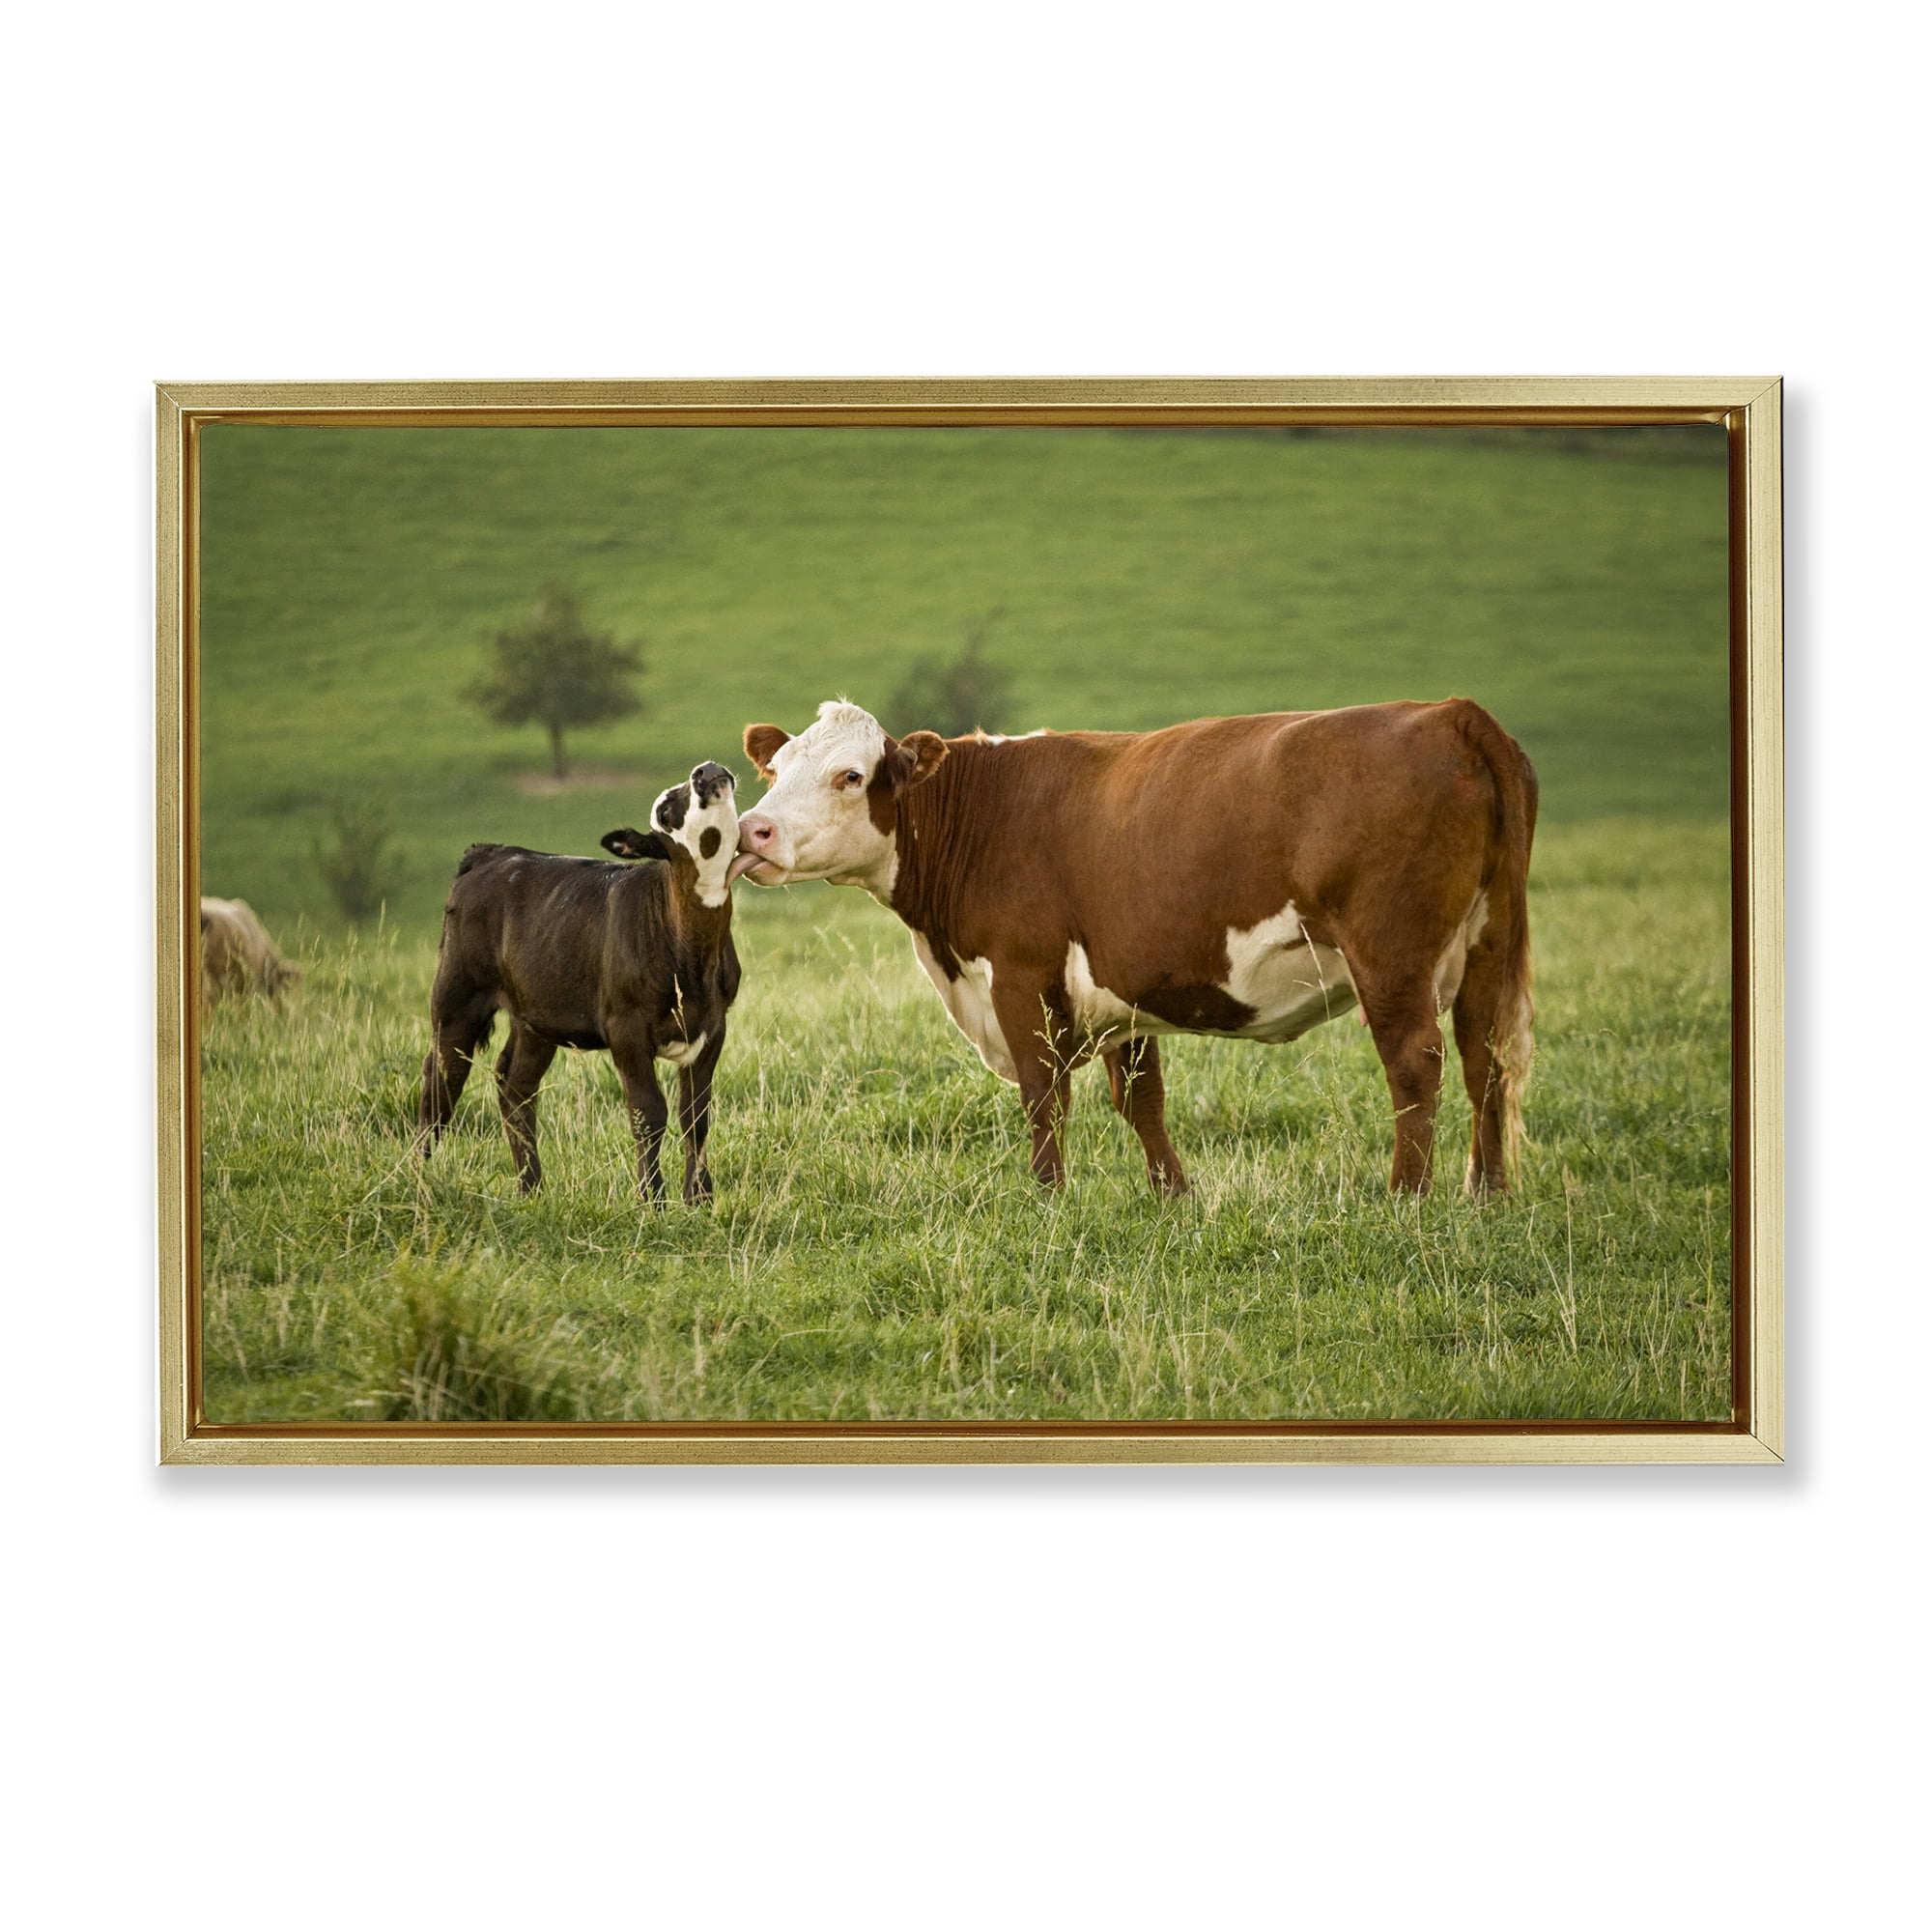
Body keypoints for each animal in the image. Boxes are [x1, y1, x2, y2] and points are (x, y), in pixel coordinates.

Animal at [416, 762, 748, 1204]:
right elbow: (648, 1112)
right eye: (664, 811)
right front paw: (652, 1198)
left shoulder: (713, 1025)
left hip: (536, 1016)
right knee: (440, 1081)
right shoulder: (625, 1027)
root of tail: (494, 853)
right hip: (457, 996)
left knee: (515, 1086)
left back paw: (531, 1187)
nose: (705, 771)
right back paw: (419, 1178)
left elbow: (696, 1114)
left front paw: (700, 1198)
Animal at [734, 700, 1536, 1198]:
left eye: (851, 775)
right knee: (1485, 1058)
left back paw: (1408, 1195)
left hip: (1390, 955)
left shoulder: (1022, 977)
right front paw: (1173, 1195)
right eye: (775, 771)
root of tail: (1452, 712)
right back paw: (1487, 1191)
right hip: (1486, 944)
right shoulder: (1123, 989)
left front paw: (1049, 1195)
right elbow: (1142, 1099)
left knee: (1416, 1064)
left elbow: (1043, 1095)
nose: (752, 831)